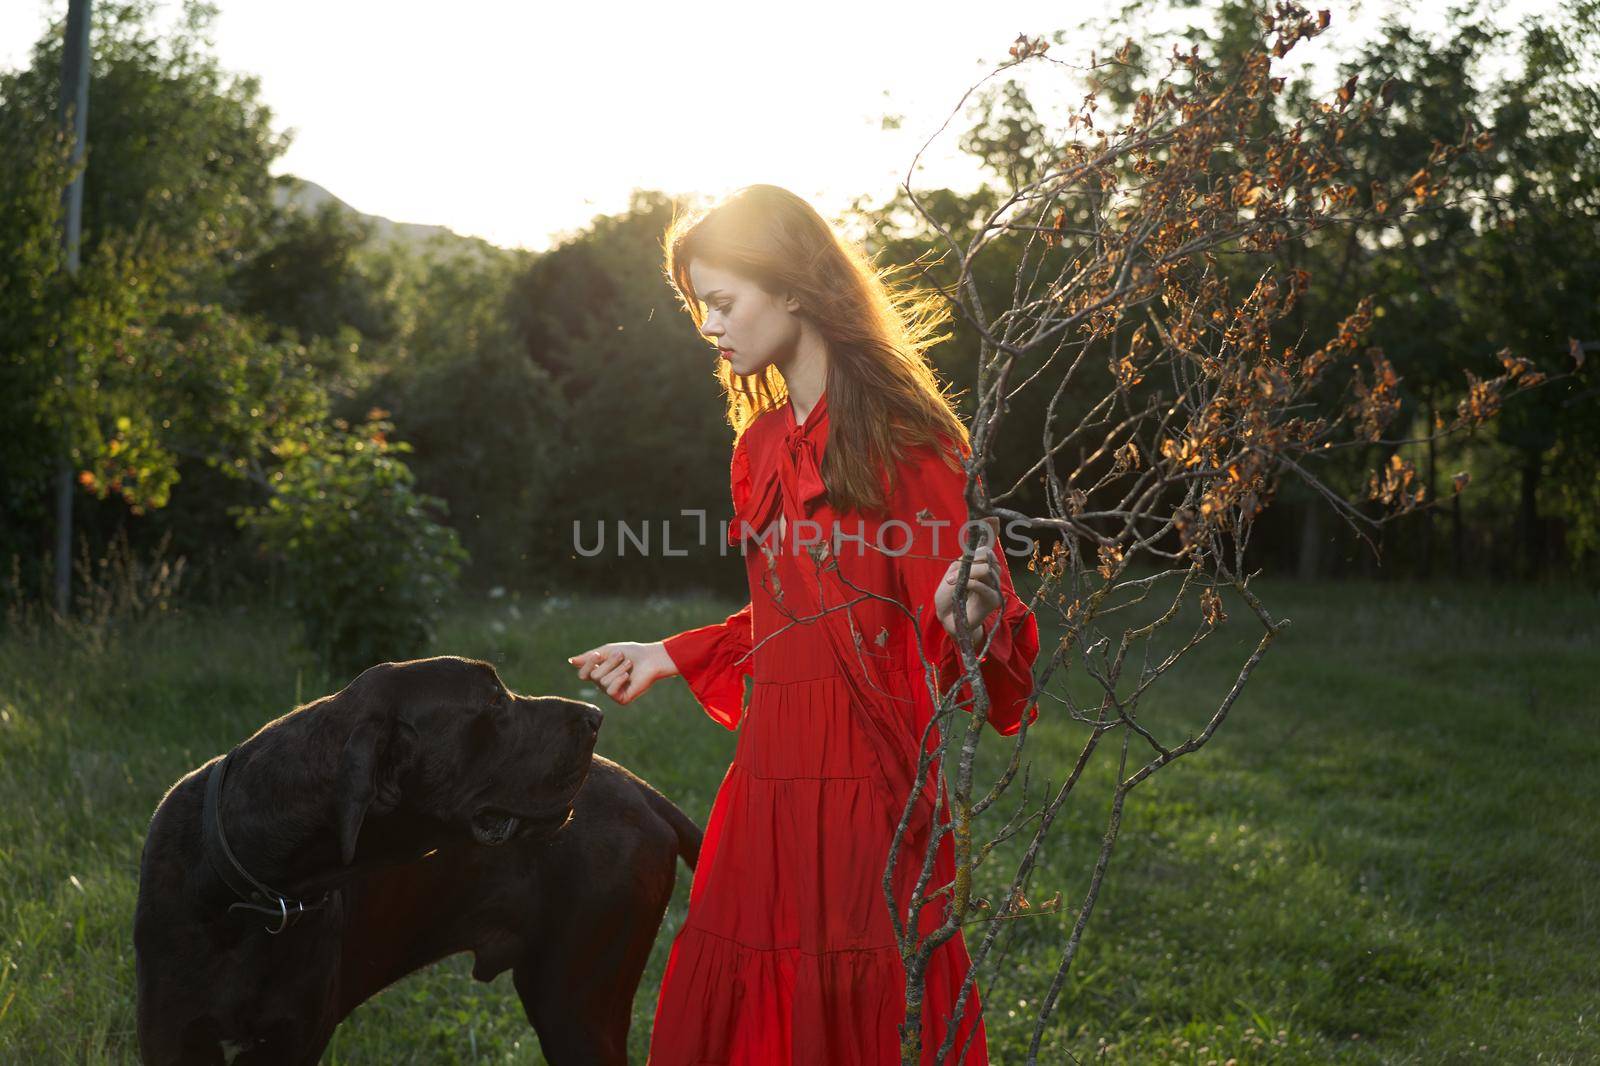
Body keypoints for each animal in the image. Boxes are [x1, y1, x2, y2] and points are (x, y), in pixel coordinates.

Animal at [139, 656, 707, 1062]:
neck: (254, 896)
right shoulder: (174, 1040)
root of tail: (642, 790)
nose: (595, 717)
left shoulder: (290, 1044)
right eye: (494, 703)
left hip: (574, 1008)